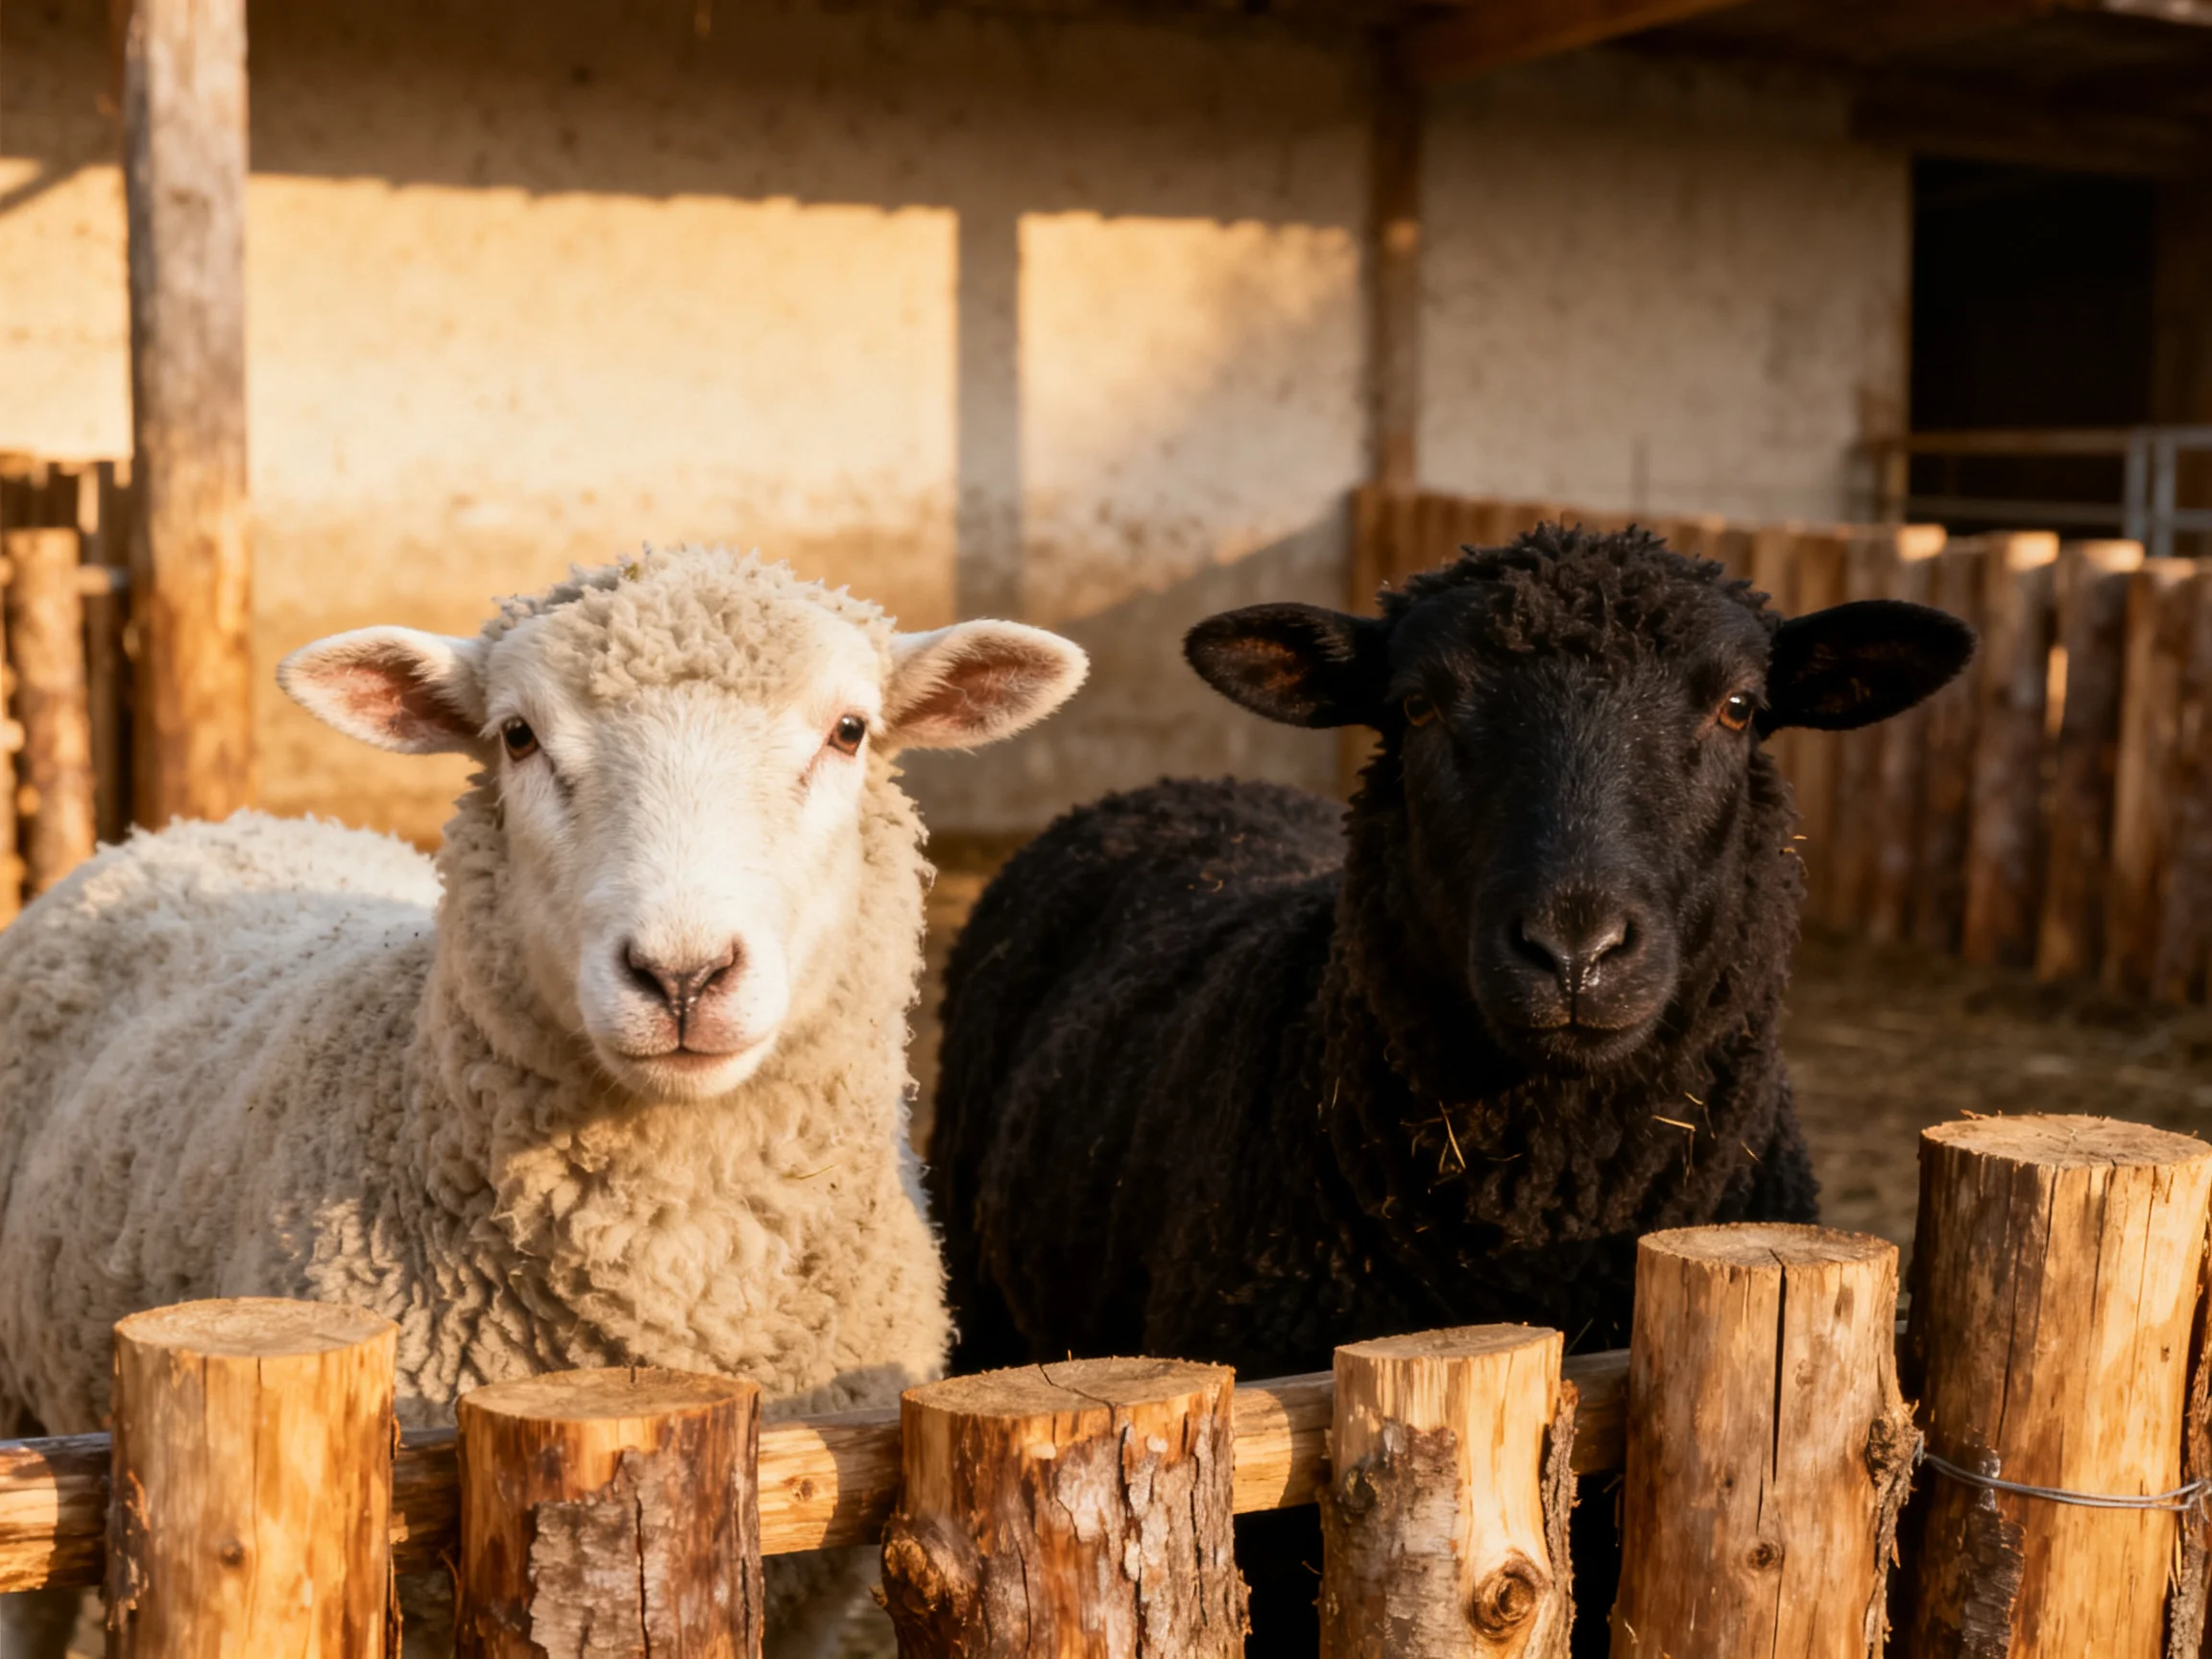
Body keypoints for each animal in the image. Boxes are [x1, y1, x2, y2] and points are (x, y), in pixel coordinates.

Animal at [0, 546, 1087, 1658]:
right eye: (518, 735)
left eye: (851, 731)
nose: (682, 974)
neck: (680, 1278)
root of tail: (193, 827)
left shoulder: (814, 1590)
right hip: (23, 1412)